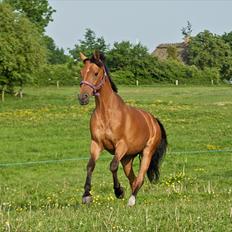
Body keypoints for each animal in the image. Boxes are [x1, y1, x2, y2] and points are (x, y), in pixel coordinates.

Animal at [78, 51, 167, 206]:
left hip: (146, 153)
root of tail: (153, 120)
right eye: (81, 72)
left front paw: (119, 191)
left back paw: (131, 200)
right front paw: (86, 195)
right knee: (133, 179)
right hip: (127, 159)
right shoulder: (96, 144)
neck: (106, 113)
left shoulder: (121, 146)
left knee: (140, 178)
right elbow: (90, 166)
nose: (82, 97)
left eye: (96, 73)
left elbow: (113, 166)